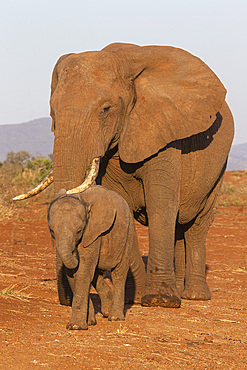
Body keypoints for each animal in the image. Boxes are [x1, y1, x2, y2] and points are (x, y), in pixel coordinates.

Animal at [14, 43, 234, 308]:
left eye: (106, 109)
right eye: (52, 112)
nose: (66, 300)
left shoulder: (164, 130)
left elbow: (161, 204)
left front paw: (160, 300)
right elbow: (123, 209)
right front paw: (135, 297)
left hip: (219, 167)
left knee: (197, 224)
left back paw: (194, 295)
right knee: (179, 227)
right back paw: (181, 291)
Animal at [47, 185, 146, 330]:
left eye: (79, 231)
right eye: (52, 231)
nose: (74, 251)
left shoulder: (93, 233)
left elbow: (83, 271)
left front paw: (76, 326)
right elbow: (74, 274)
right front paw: (89, 322)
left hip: (128, 233)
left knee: (119, 273)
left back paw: (115, 317)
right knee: (95, 274)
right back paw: (106, 309)